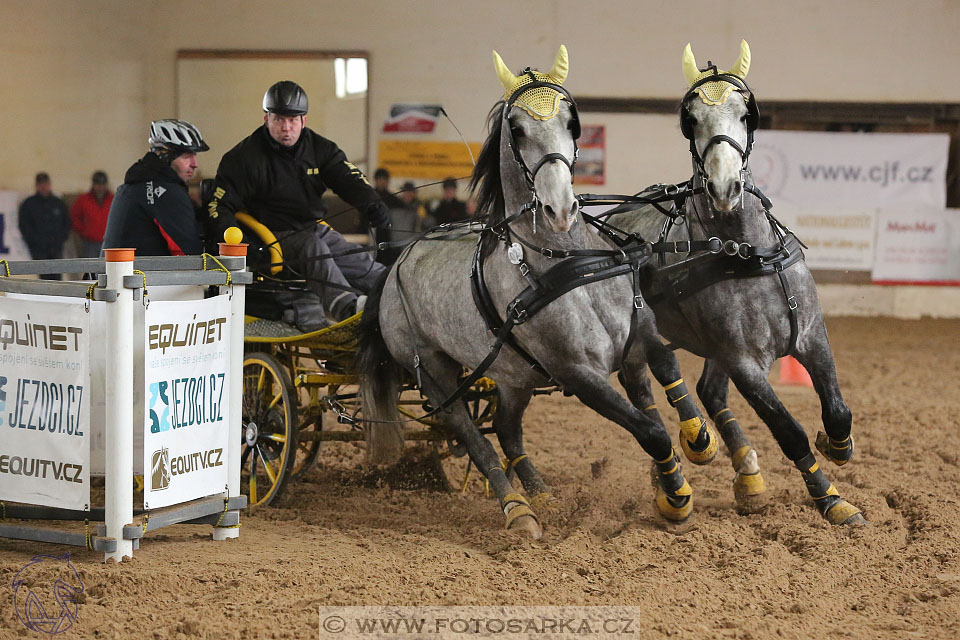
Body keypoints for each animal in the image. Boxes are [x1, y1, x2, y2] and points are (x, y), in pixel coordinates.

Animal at [356, 45, 716, 536]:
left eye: (571, 121)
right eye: (517, 129)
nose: (560, 208)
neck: (569, 263)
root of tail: (395, 264)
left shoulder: (637, 339)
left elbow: (666, 372)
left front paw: (698, 441)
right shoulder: (578, 375)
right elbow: (650, 430)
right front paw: (677, 499)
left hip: (513, 377)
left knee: (508, 430)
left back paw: (542, 495)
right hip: (433, 372)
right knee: (472, 435)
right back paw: (518, 510)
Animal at [612, 40, 868, 524]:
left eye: (746, 113)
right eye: (691, 119)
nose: (725, 187)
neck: (747, 255)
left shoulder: (811, 336)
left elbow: (838, 409)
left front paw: (837, 446)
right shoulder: (744, 361)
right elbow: (789, 431)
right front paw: (831, 499)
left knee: (709, 393)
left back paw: (747, 476)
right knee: (644, 388)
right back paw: (678, 466)